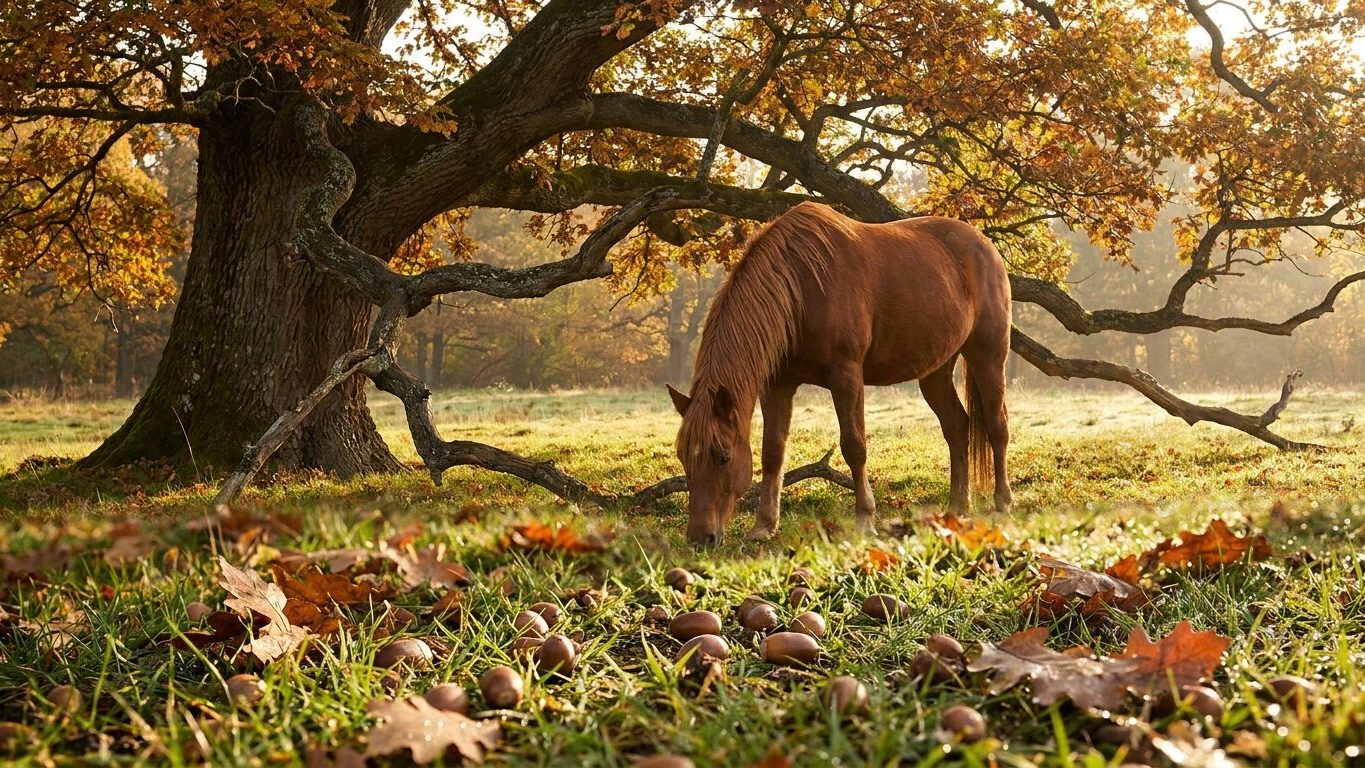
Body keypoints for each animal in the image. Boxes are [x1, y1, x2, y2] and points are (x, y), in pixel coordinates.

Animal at [667, 202, 1012, 546]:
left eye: (723, 456)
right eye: (684, 457)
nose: (700, 538)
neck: (801, 287)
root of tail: (985, 246)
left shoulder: (846, 376)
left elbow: (854, 447)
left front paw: (865, 519)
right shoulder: (778, 385)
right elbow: (772, 452)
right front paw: (764, 525)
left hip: (988, 356)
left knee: (997, 427)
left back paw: (1003, 503)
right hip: (936, 370)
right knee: (957, 427)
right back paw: (957, 508)